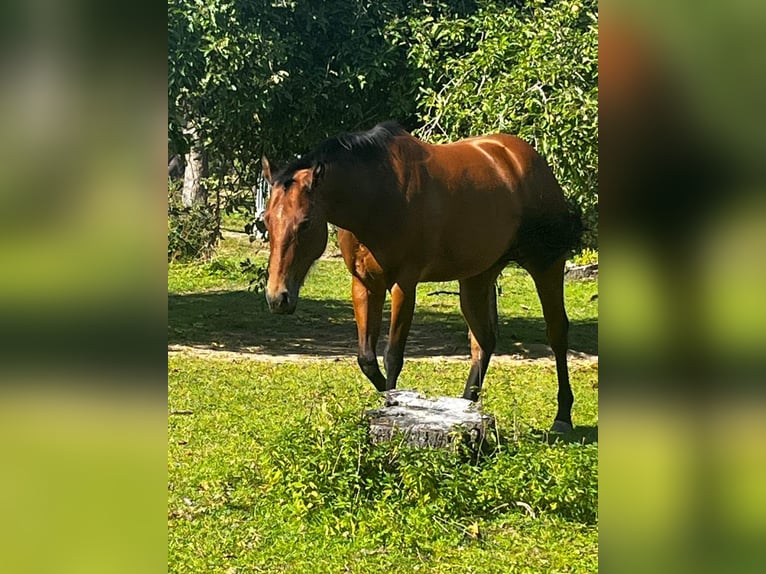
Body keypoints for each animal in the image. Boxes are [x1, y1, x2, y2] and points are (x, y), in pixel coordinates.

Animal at [262, 124, 584, 434]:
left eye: (305, 223)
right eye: (265, 219)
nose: (278, 298)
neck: (378, 195)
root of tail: (524, 158)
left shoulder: (404, 284)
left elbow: (392, 356)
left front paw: (394, 405)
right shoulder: (365, 284)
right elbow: (367, 359)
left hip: (546, 265)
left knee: (557, 332)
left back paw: (562, 417)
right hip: (477, 277)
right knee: (483, 341)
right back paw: (465, 408)